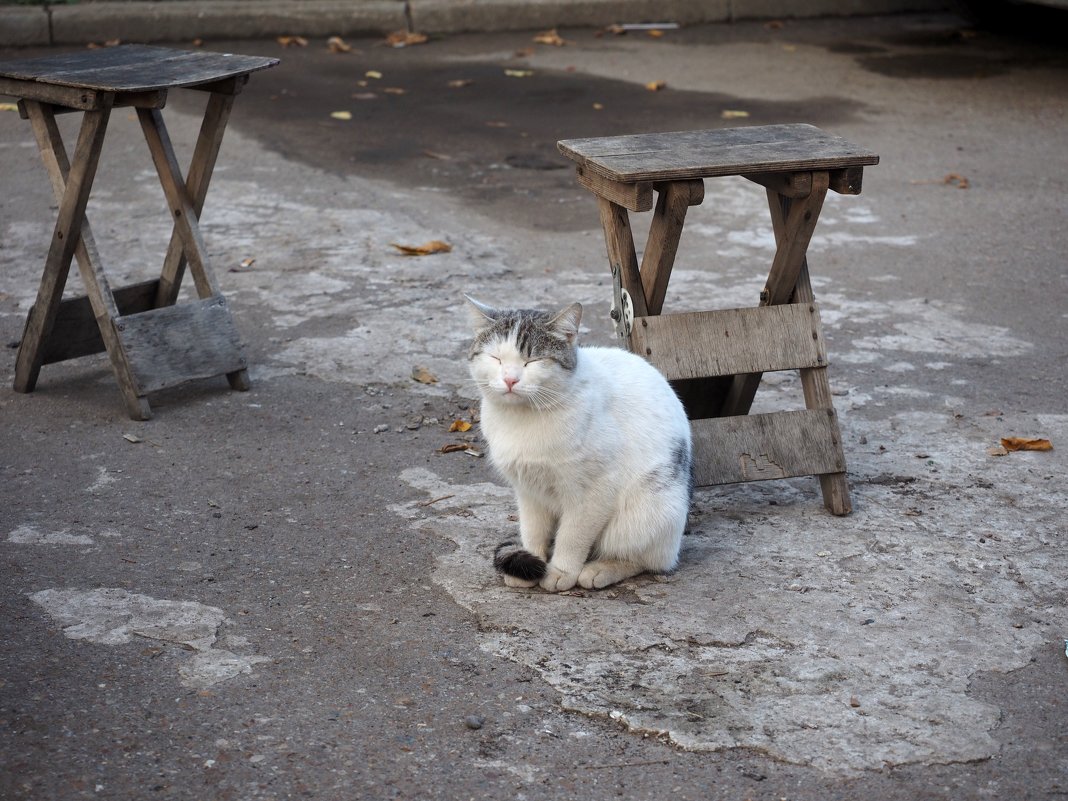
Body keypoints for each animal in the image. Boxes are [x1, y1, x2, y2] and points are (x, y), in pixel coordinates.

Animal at [465, 299, 692, 593]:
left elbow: (573, 536)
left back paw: (601, 569)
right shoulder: (527, 488)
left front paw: (561, 571)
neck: (523, 418)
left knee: (649, 559)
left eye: (533, 360)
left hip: (649, 507)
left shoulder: (594, 490)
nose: (510, 379)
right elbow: (532, 529)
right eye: (496, 358)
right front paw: (531, 561)